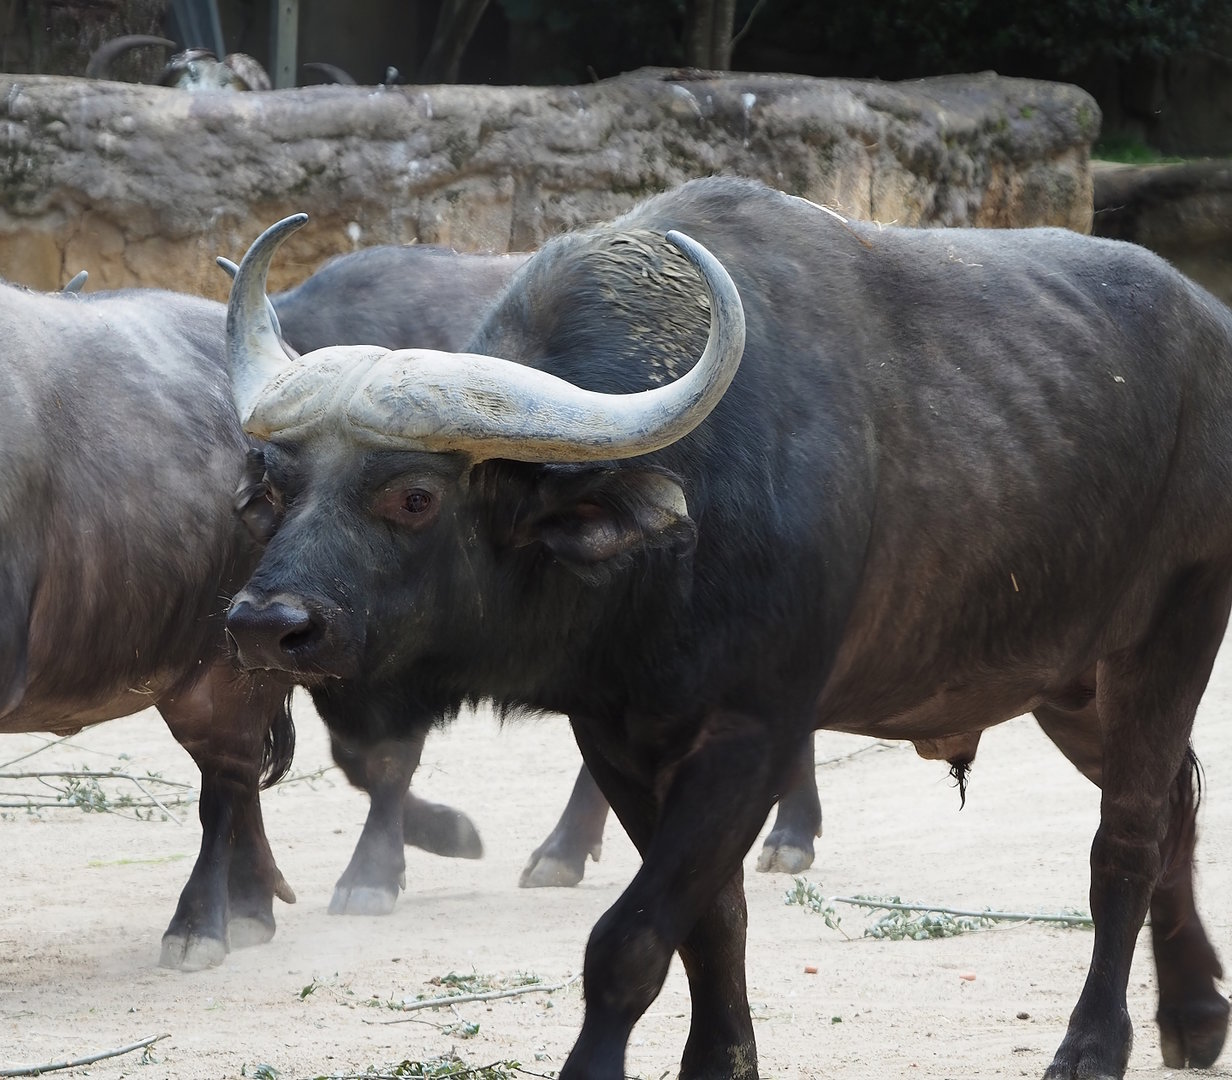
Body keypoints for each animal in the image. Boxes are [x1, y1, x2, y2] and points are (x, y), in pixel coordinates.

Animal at [220, 174, 1231, 1078]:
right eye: (272, 490)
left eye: (414, 496)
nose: (268, 624)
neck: (682, 527)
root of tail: (1211, 331)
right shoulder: (621, 739)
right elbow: (712, 921)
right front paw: (721, 1060)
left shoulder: (754, 733)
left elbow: (629, 941)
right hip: (1068, 682)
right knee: (1177, 802)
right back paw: (1194, 1014)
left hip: (1173, 629)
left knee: (1128, 840)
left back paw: (1095, 1047)